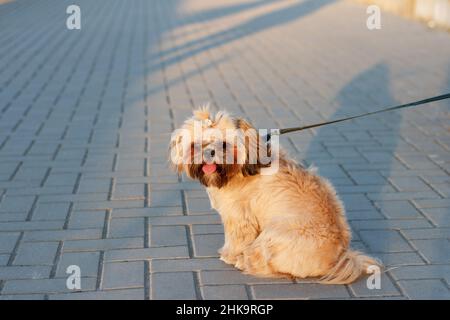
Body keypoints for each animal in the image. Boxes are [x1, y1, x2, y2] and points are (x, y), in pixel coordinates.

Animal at [169, 106, 380, 284]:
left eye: (224, 144)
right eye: (196, 144)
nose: (209, 152)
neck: (239, 169)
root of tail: (341, 256)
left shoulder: (239, 218)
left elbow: (236, 239)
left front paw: (229, 254)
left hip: (272, 235)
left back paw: (244, 261)